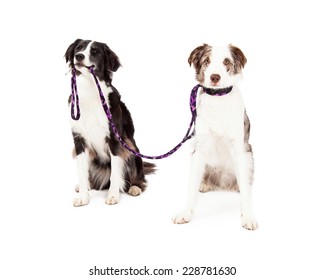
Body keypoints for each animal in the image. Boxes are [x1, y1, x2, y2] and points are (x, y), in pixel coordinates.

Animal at [65, 38, 154, 206]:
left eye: (95, 51)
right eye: (78, 48)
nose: (79, 56)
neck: (90, 89)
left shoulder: (115, 140)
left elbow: (115, 173)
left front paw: (113, 195)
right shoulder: (79, 141)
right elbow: (82, 172)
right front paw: (83, 197)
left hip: (133, 148)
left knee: (137, 176)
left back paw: (134, 187)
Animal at [172, 44, 258, 231]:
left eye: (226, 61)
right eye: (207, 61)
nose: (215, 77)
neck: (218, 98)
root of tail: (222, 181)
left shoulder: (239, 148)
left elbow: (245, 191)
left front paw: (248, 215)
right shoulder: (199, 148)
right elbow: (191, 185)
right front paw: (186, 212)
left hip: (249, 153)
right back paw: (205, 184)